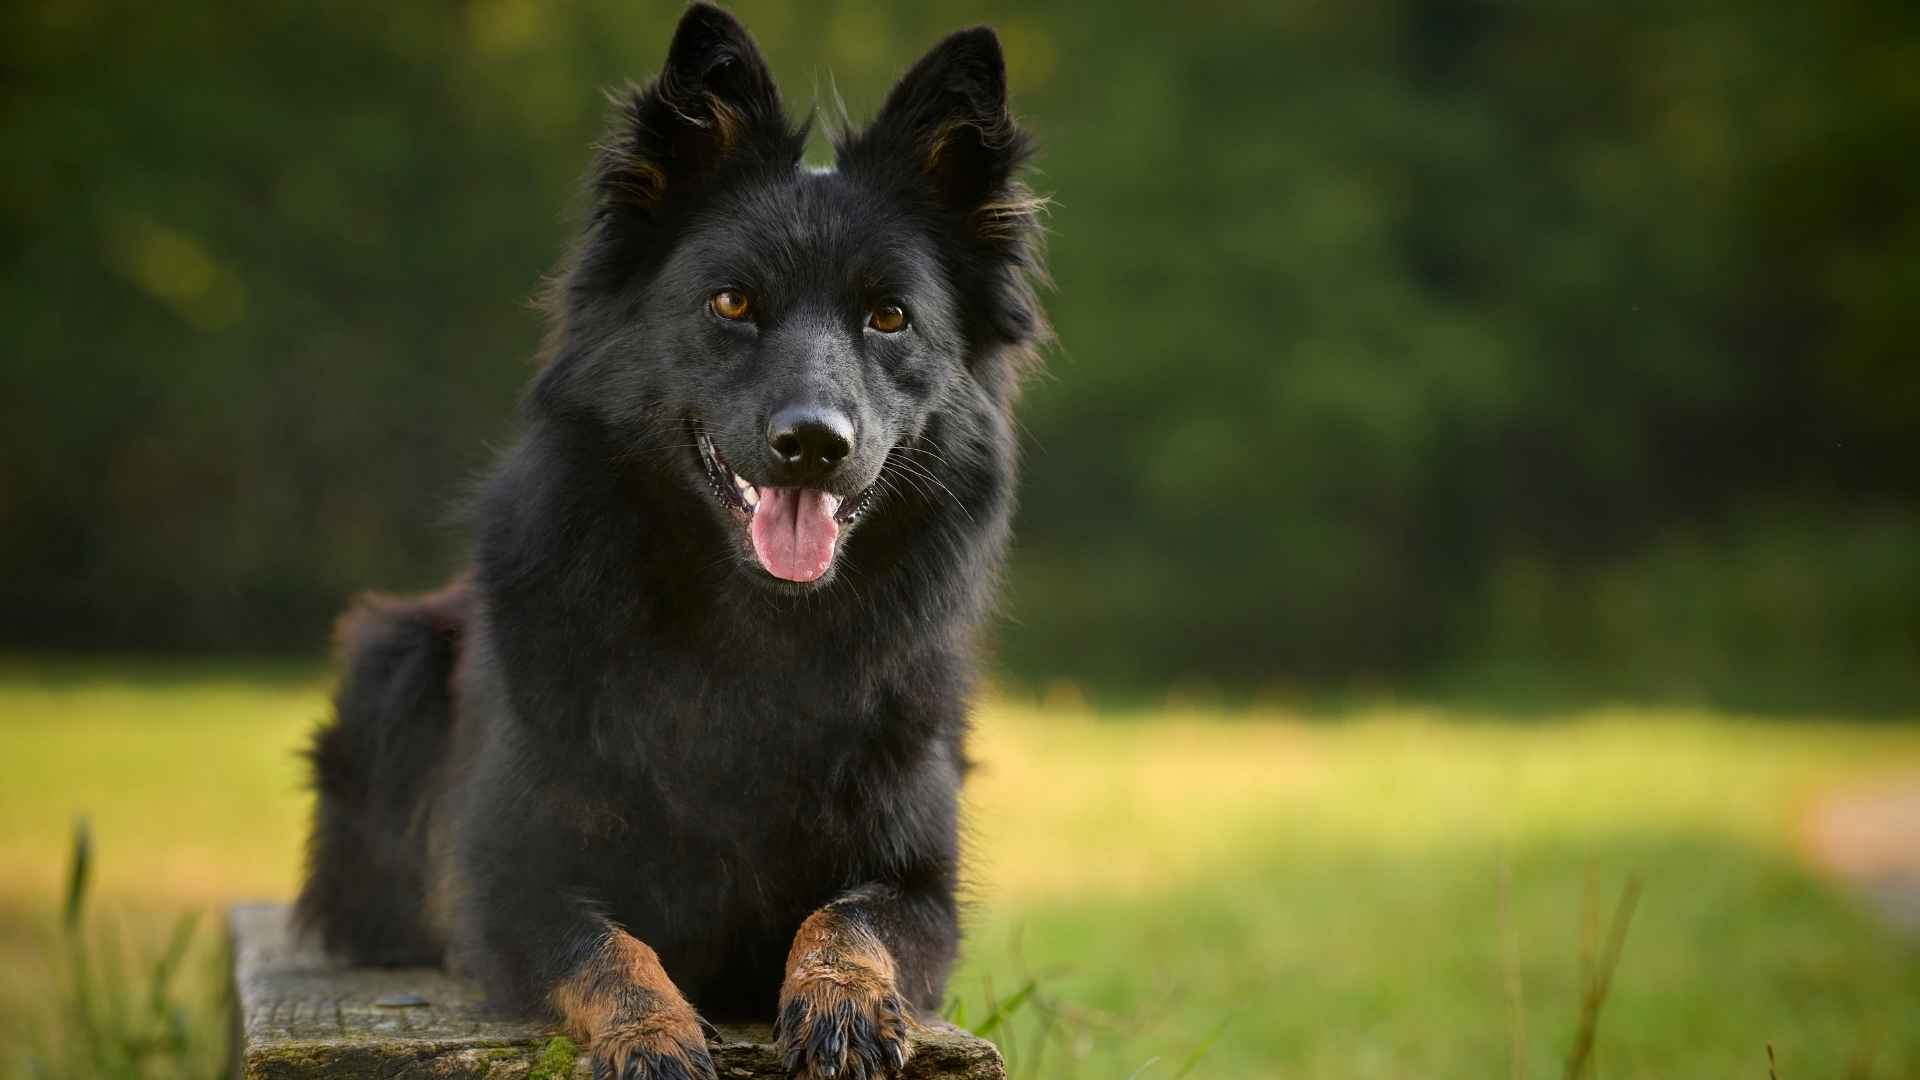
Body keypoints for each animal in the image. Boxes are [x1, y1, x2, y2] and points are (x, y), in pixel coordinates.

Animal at [295, 8, 1052, 1076]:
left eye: (888, 316)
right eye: (732, 304)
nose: (815, 444)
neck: (752, 636)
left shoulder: (921, 890)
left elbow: (849, 920)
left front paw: (843, 1004)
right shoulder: (507, 887)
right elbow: (608, 948)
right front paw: (651, 1032)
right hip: (392, 656)